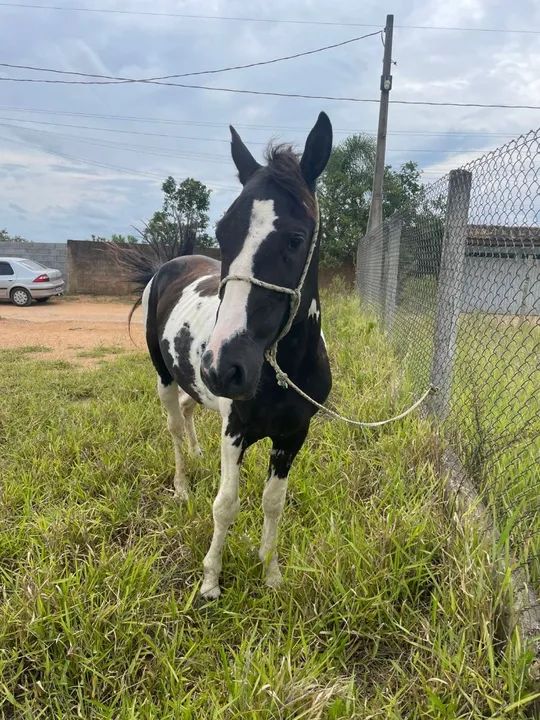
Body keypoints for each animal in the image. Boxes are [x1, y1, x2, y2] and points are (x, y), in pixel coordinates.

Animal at [132, 112, 333, 599]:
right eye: (223, 232)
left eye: (296, 238)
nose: (224, 368)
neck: (280, 373)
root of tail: (166, 266)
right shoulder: (235, 431)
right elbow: (226, 505)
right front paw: (210, 581)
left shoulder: (292, 435)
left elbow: (273, 503)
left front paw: (270, 571)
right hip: (165, 379)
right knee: (173, 427)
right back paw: (183, 486)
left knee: (190, 411)